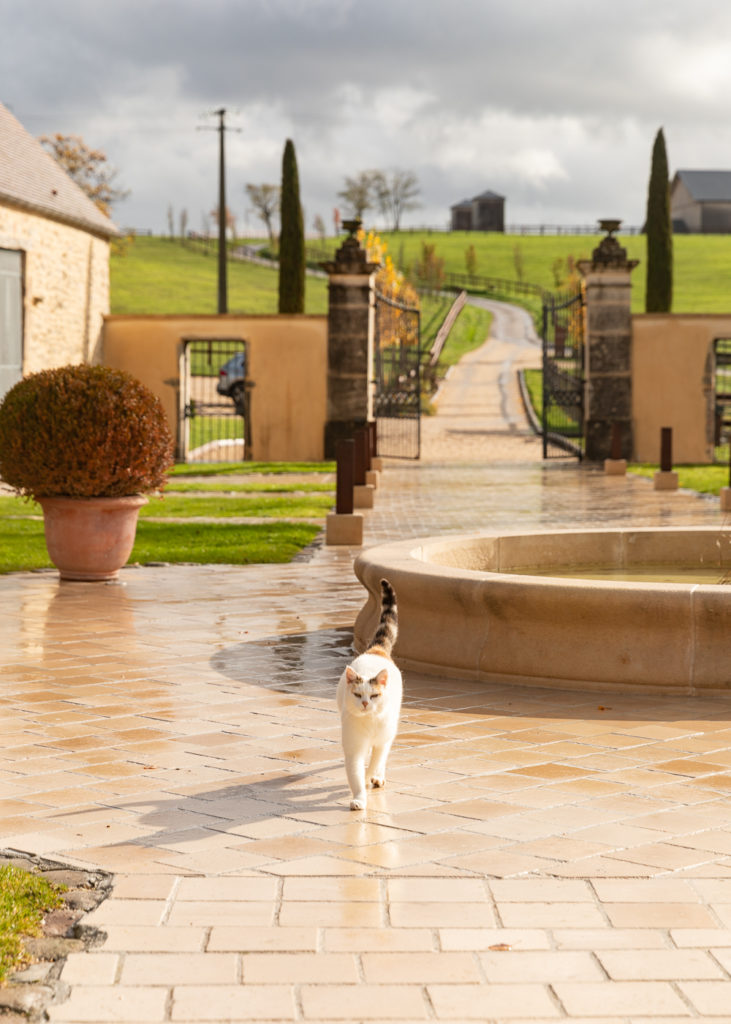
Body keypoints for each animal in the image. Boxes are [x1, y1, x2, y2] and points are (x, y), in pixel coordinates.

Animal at [333, 577, 401, 806]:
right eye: (357, 695)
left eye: (373, 695)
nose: (364, 703)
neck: (369, 723)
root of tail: (376, 650)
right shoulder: (353, 747)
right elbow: (355, 773)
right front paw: (359, 799)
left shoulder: (382, 741)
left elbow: (374, 762)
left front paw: (371, 777)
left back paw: (378, 777)